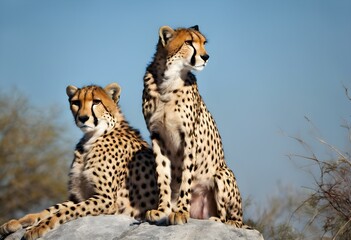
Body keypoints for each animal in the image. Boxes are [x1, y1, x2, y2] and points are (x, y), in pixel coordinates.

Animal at [0, 83, 158, 240]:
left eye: (96, 102)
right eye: (76, 102)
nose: (83, 118)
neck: (92, 138)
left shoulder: (106, 200)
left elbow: (66, 211)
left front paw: (39, 227)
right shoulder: (79, 196)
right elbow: (53, 208)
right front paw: (20, 221)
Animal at [142, 25, 245, 226]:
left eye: (203, 42)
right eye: (189, 42)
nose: (206, 57)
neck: (168, 81)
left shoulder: (189, 137)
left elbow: (186, 177)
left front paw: (181, 212)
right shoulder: (156, 136)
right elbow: (162, 176)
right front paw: (162, 210)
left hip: (222, 174)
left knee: (232, 218)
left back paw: (222, 220)